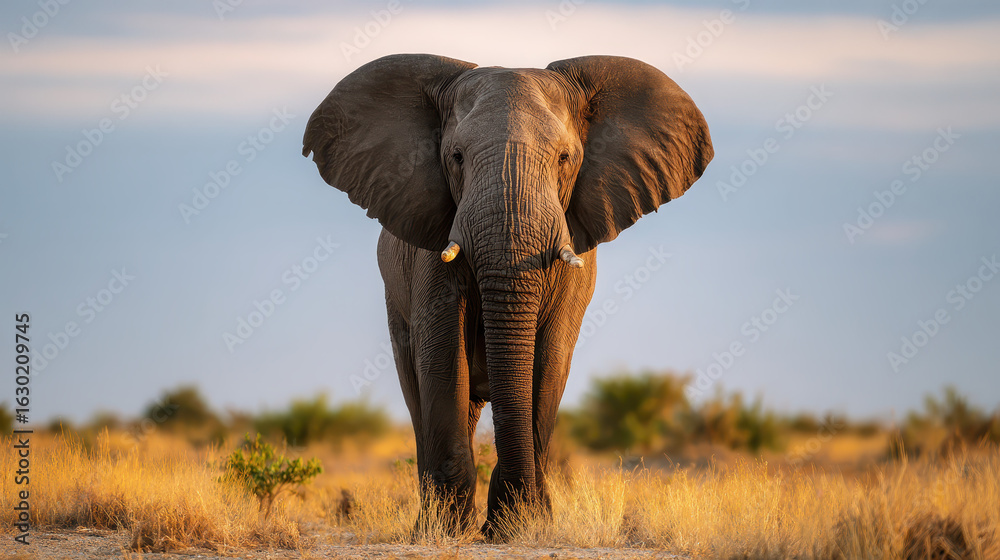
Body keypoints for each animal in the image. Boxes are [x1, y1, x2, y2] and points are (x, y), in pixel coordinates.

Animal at [302, 53, 713, 539]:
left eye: (565, 158)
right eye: (456, 157)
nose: (503, 521)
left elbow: (549, 361)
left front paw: (521, 523)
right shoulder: (430, 251)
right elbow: (442, 355)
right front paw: (455, 530)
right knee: (419, 387)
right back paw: (433, 524)